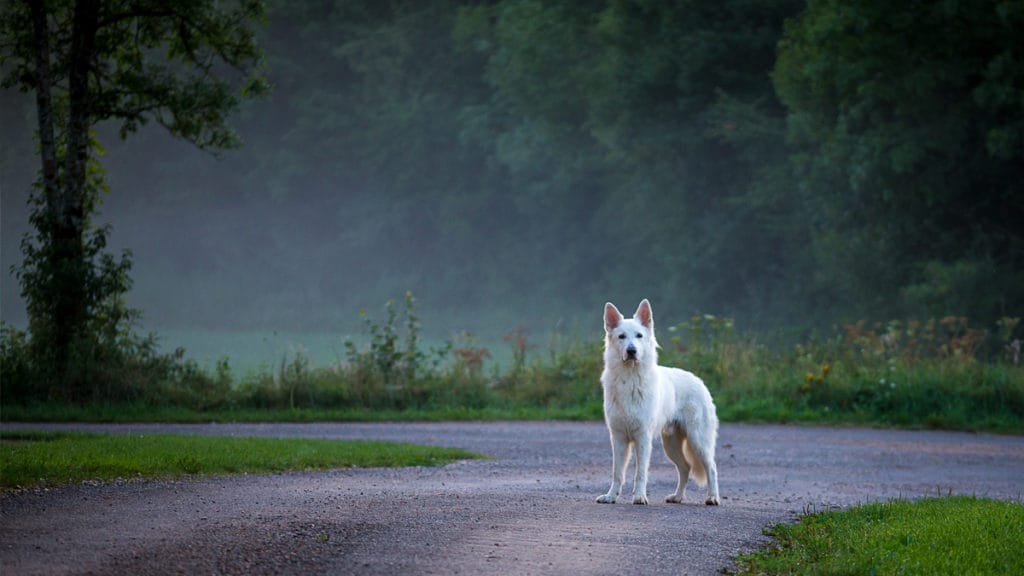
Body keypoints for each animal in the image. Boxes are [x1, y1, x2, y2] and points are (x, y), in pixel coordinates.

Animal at [593, 297, 720, 504]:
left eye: (639, 336)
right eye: (621, 337)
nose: (631, 351)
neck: (630, 379)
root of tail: (699, 380)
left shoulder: (642, 438)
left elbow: (640, 473)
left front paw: (639, 497)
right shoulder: (618, 438)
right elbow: (617, 473)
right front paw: (611, 496)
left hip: (698, 441)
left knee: (711, 467)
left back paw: (713, 498)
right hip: (671, 445)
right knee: (685, 467)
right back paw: (677, 497)